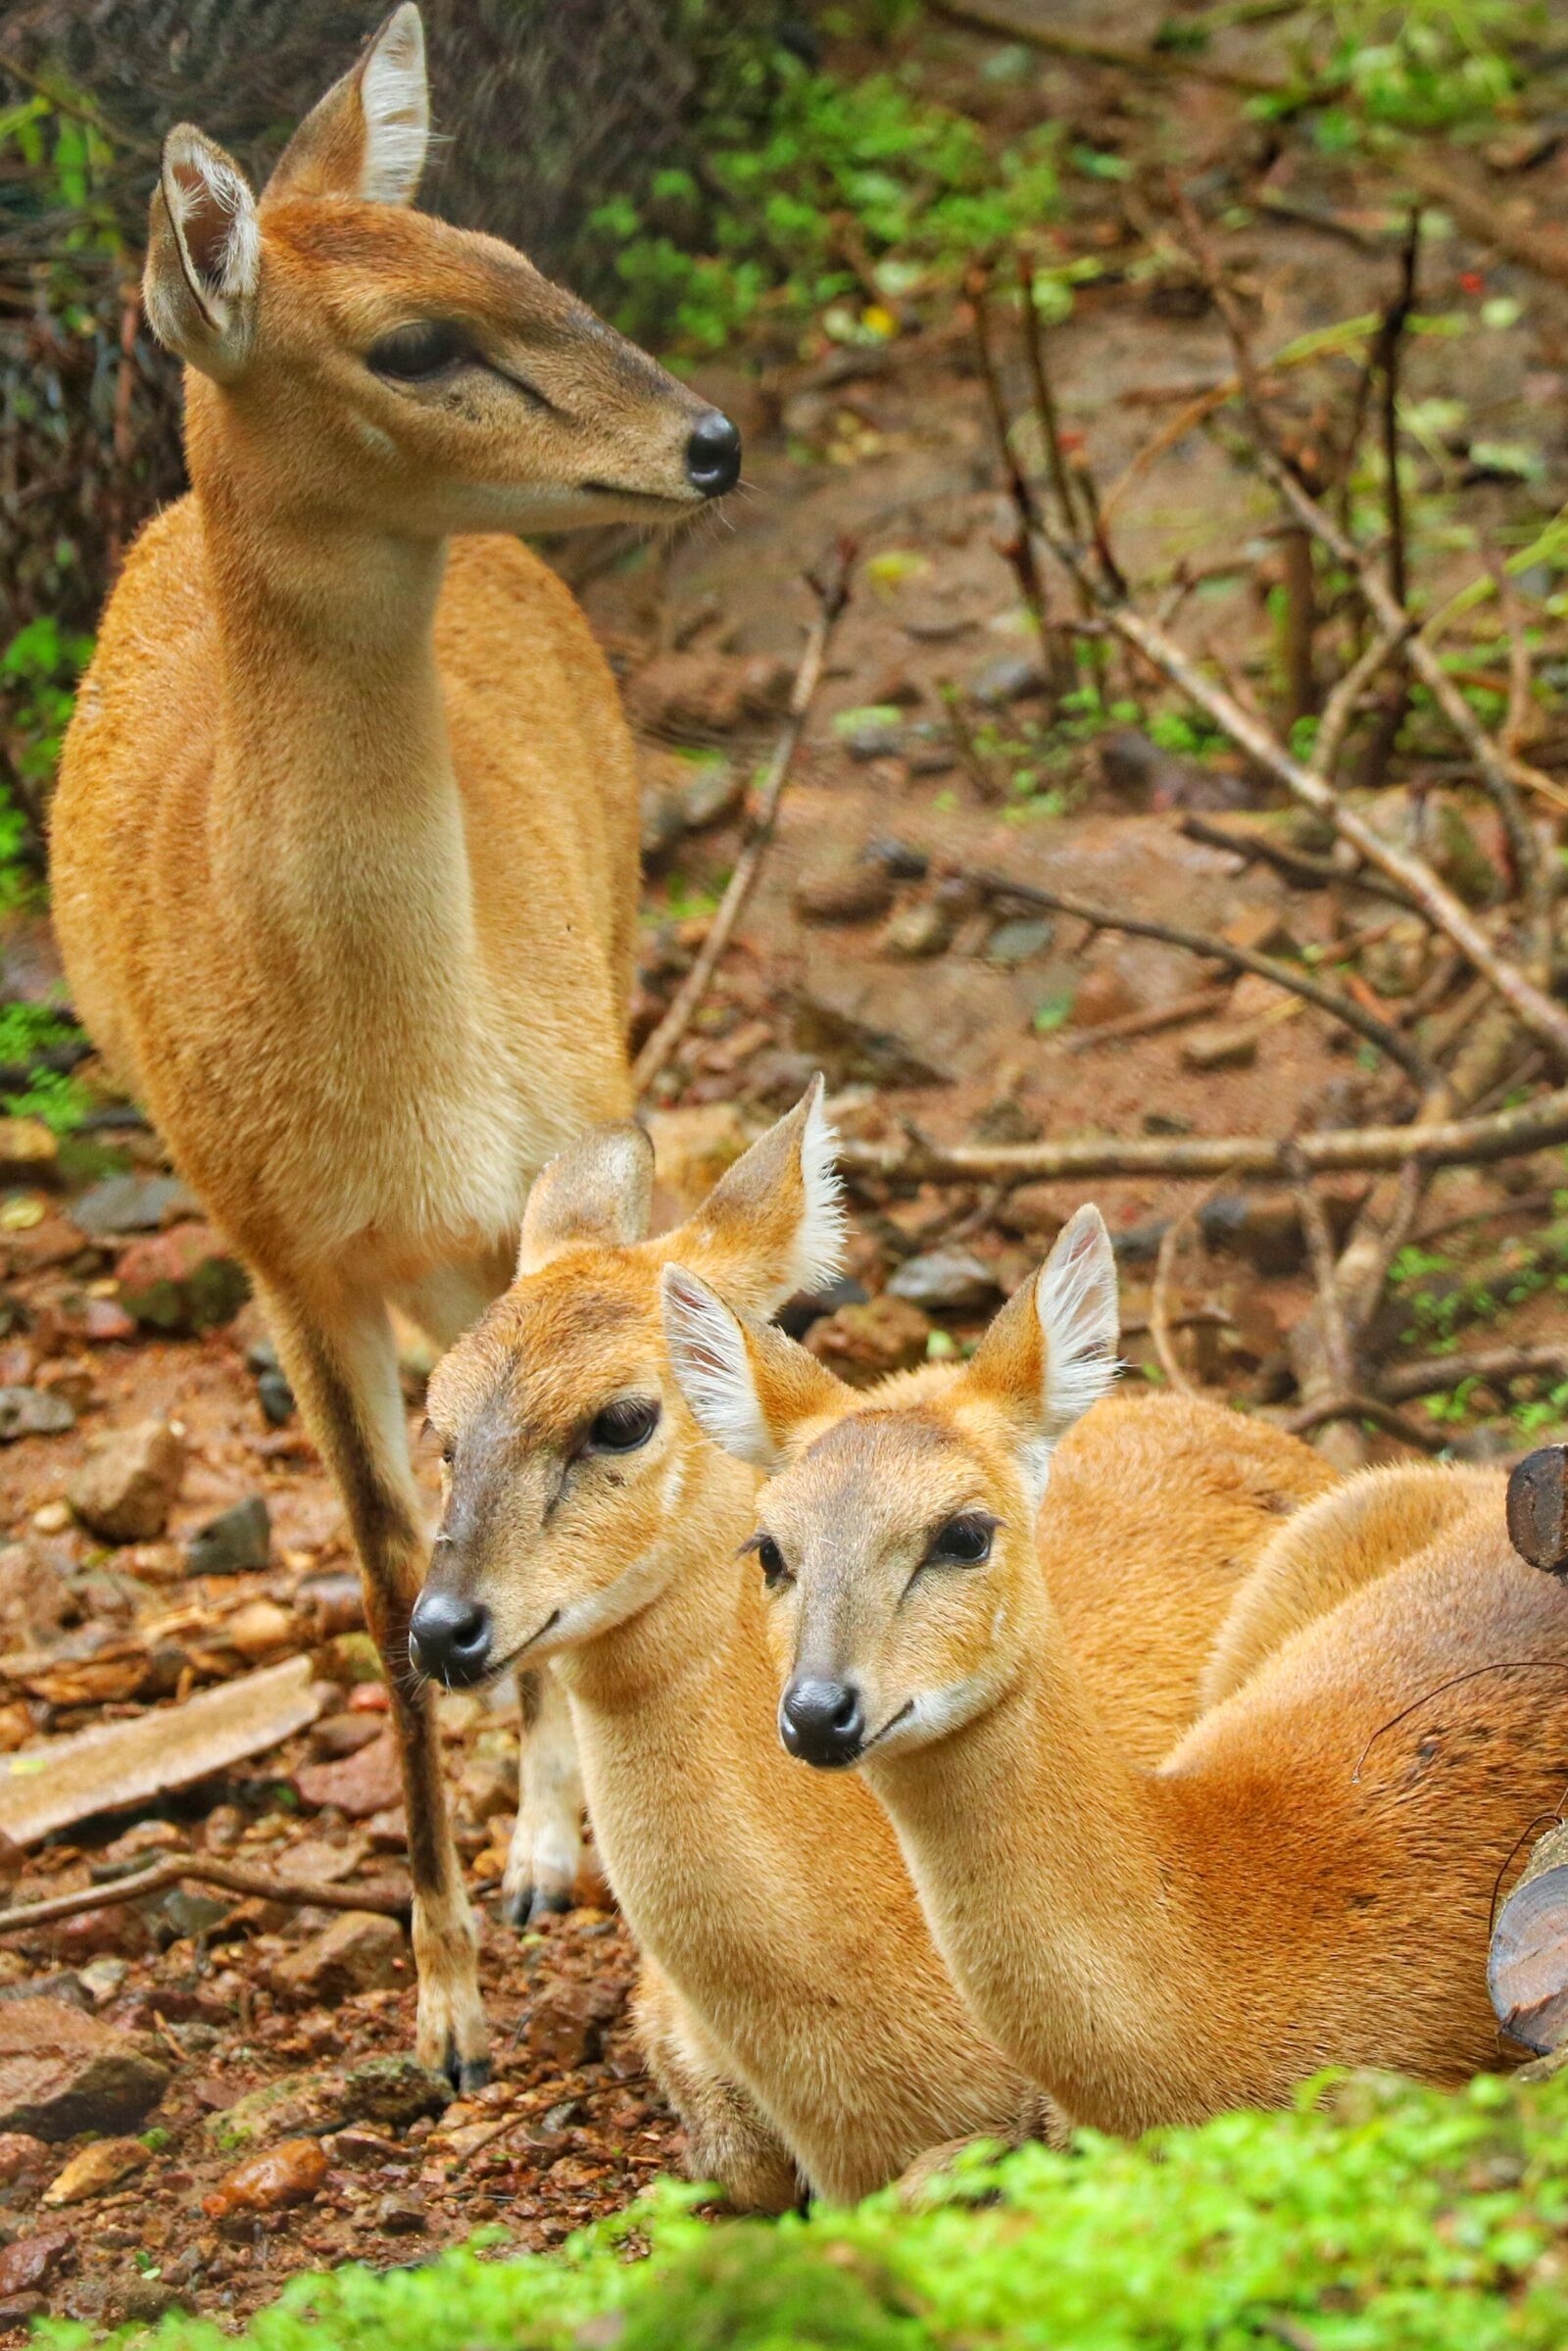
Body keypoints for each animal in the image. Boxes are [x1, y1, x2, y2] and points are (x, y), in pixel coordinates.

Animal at [47, 4, 742, 2092]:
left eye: (514, 254)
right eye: (414, 341)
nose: (707, 437)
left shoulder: (588, 1143)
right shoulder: (281, 1249)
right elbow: (380, 1556)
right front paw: (442, 2005)